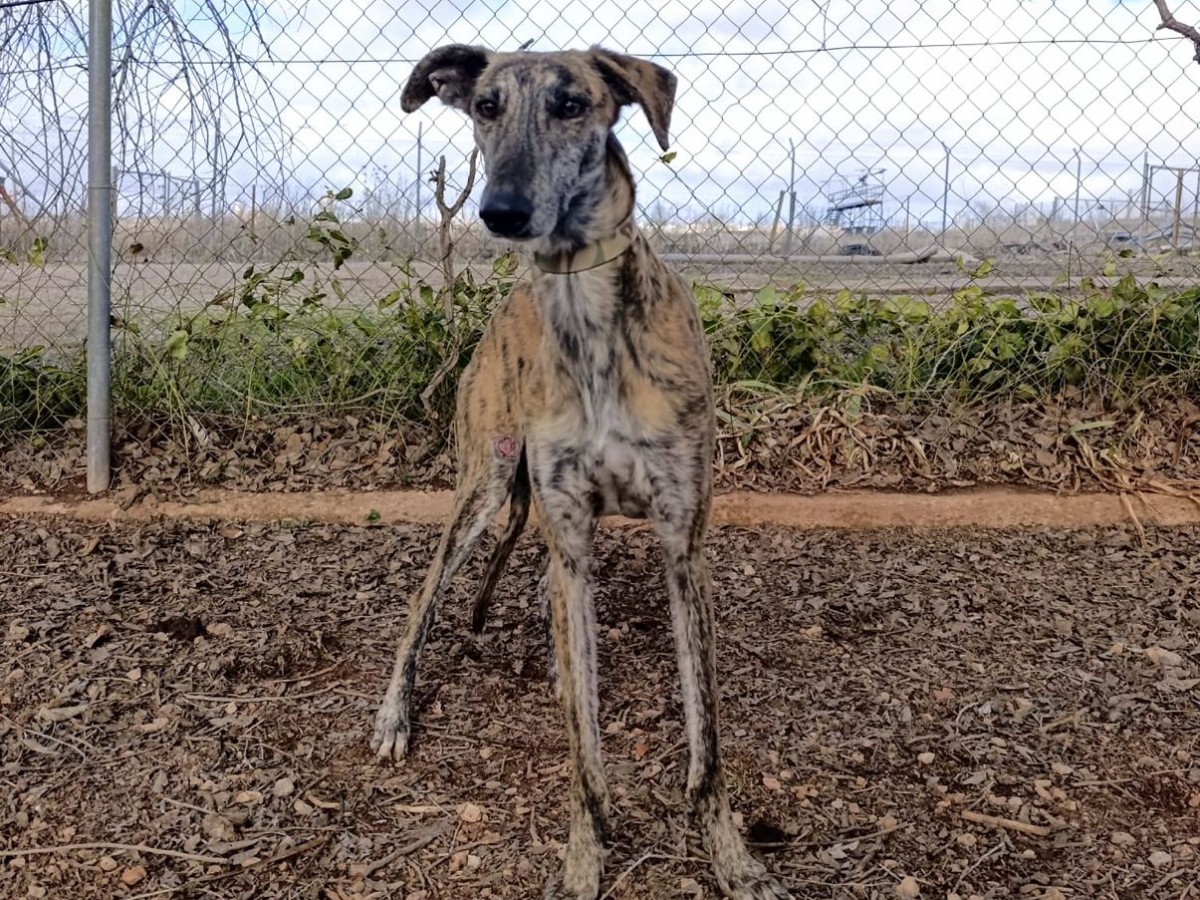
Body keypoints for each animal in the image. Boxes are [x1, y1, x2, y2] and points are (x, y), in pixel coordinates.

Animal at [371, 44, 792, 900]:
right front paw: (582, 857)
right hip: (484, 486)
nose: (502, 211)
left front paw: (734, 859)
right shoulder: (567, 528)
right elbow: (583, 749)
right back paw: (396, 714)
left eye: (572, 105)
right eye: (485, 107)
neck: (585, 314)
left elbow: (708, 742)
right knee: (424, 602)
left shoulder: (682, 545)